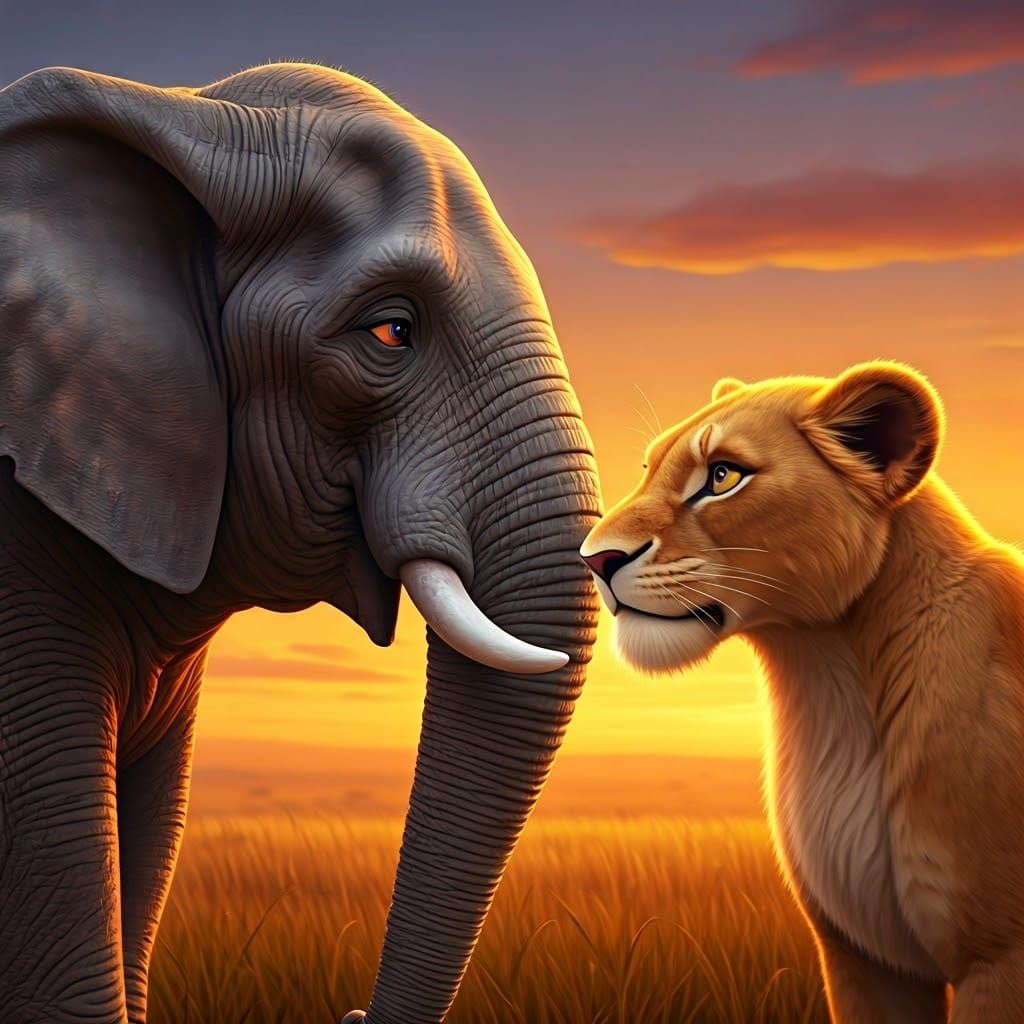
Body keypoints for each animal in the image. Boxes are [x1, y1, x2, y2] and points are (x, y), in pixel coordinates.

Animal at [581, 362, 1024, 1022]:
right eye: (649, 468)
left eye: (722, 475)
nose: (595, 558)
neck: (827, 675)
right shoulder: (865, 961)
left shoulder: (998, 957)